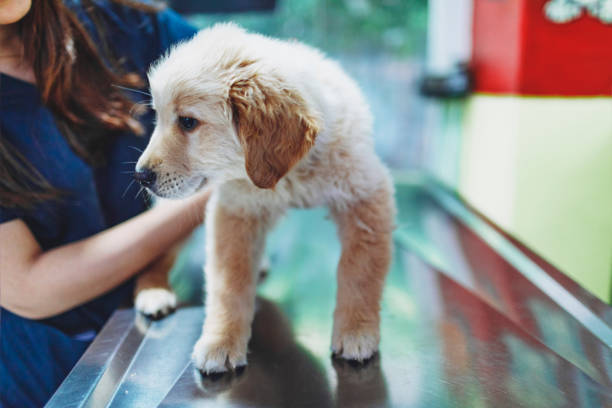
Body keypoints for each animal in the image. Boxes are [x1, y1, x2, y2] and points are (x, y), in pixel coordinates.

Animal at [134, 22, 396, 372]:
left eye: (188, 122)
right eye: (158, 118)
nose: (141, 175)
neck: (291, 174)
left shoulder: (366, 195)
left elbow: (360, 271)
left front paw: (356, 329)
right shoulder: (235, 209)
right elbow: (229, 284)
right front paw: (222, 340)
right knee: (155, 253)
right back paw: (153, 292)